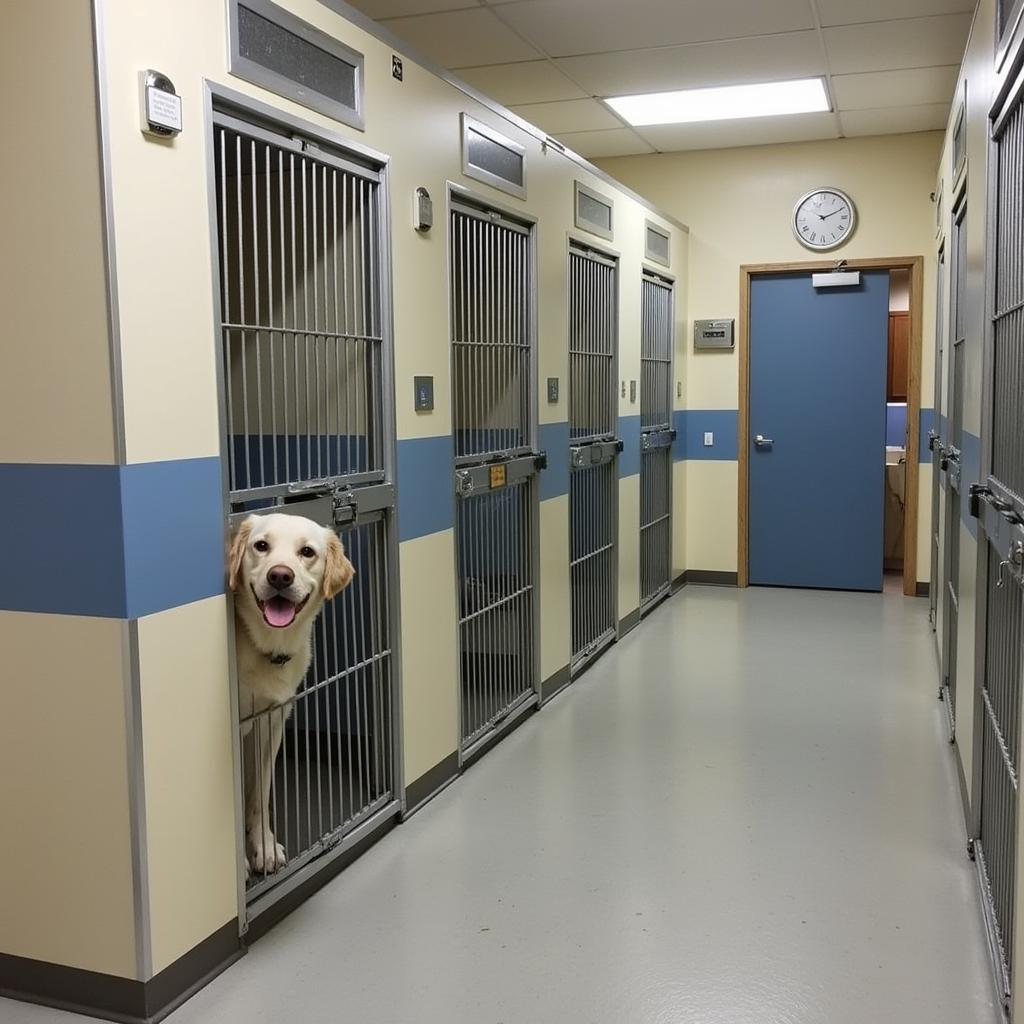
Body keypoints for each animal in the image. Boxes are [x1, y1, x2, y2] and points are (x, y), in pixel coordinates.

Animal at [226, 509, 354, 872]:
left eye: (307, 552)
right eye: (261, 545)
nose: (280, 576)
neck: (268, 648)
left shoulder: (272, 722)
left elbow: (260, 793)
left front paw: (264, 845)